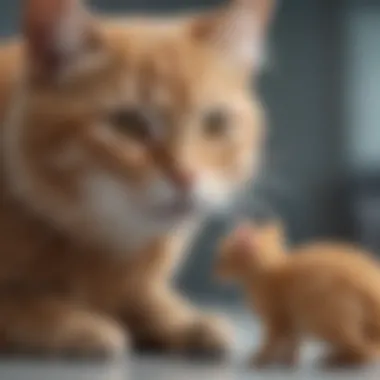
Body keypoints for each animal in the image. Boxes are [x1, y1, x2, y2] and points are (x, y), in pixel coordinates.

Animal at [0, 0, 274, 356]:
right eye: (128, 123)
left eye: (215, 122)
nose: (186, 175)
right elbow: (23, 304)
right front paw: (76, 323)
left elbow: (148, 300)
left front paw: (183, 321)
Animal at [215, 221, 380, 366]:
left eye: (222, 259)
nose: (215, 271)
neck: (269, 270)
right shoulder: (290, 319)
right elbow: (292, 342)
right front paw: (288, 361)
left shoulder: (277, 316)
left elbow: (272, 341)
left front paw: (261, 358)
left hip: (327, 317)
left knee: (366, 349)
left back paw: (338, 358)